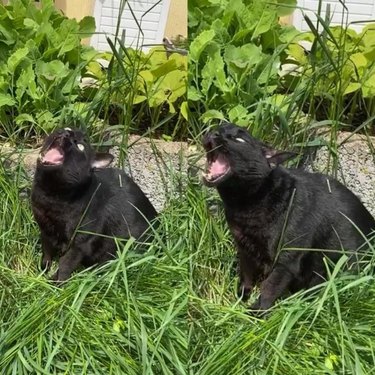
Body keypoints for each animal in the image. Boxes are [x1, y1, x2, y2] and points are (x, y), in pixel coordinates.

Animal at [30, 129, 157, 282]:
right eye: (67, 129)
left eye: (80, 147)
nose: (66, 135)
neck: (51, 196)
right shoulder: (45, 230)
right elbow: (47, 253)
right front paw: (42, 271)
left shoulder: (80, 243)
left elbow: (65, 265)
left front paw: (55, 284)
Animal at [203, 124, 375, 314]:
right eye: (218, 127)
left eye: (239, 140)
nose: (214, 133)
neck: (246, 206)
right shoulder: (244, 248)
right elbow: (246, 275)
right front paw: (240, 299)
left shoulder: (287, 257)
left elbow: (269, 287)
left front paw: (255, 314)